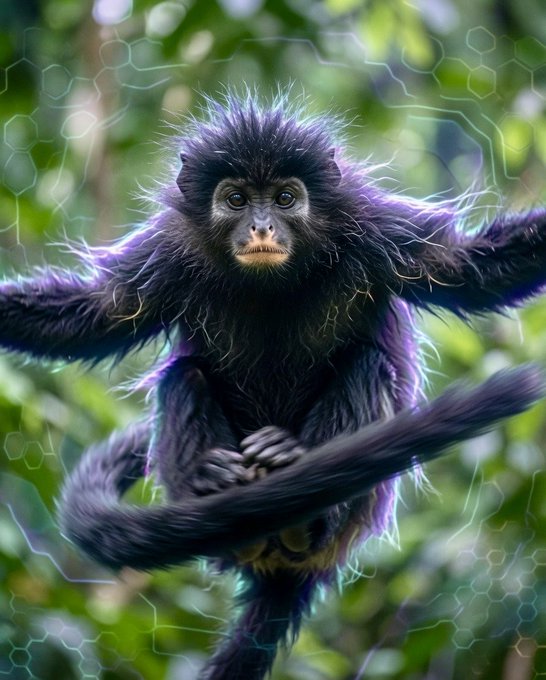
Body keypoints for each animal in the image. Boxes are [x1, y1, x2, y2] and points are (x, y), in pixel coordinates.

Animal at [1, 94, 546, 679]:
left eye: (285, 198)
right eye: (236, 199)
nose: (262, 227)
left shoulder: (376, 227)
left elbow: (462, 267)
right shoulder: (167, 250)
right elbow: (101, 314)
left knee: (366, 363)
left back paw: (298, 484)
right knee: (183, 376)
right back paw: (213, 482)